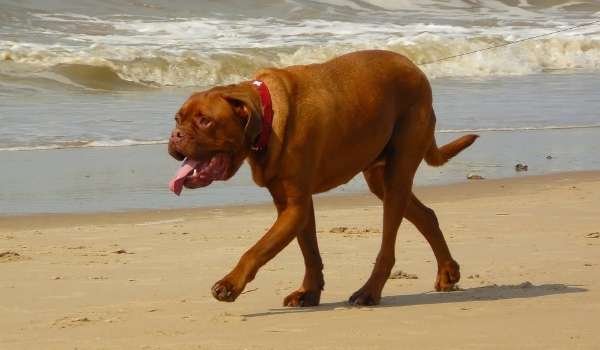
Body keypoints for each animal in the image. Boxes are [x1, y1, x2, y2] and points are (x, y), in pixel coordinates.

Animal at [169, 49, 478, 306]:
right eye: (177, 119)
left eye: (205, 121)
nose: (176, 135)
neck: (266, 116)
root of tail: (417, 70)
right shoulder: (294, 207)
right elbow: (310, 252)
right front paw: (309, 291)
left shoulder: (295, 207)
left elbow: (257, 250)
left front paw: (230, 284)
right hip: (381, 179)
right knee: (426, 216)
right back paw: (447, 272)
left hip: (398, 174)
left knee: (387, 247)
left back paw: (369, 291)